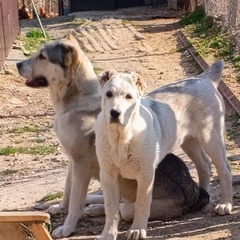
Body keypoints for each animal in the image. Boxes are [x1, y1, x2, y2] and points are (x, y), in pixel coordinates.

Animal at [95, 62, 232, 240]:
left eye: (129, 97)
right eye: (109, 94)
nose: (114, 113)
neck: (121, 136)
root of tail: (203, 78)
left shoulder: (145, 174)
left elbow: (142, 203)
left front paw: (137, 230)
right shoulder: (108, 174)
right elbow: (110, 208)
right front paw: (108, 234)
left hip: (211, 137)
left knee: (224, 169)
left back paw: (225, 204)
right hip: (189, 141)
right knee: (204, 164)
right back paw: (203, 196)